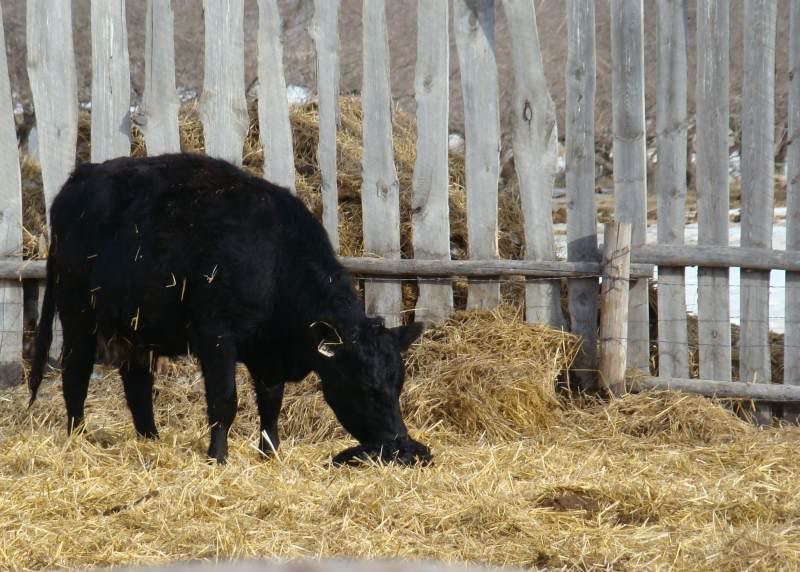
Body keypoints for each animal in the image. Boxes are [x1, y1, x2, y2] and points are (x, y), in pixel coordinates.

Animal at [28, 153, 431, 466]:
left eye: (398, 383)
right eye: (364, 384)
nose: (400, 447)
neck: (275, 259)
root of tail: (81, 176)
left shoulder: (267, 354)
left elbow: (270, 404)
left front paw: (270, 454)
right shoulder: (216, 336)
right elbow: (225, 401)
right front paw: (218, 458)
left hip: (138, 325)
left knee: (138, 383)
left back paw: (152, 440)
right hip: (77, 310)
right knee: (75, 373)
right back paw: (76, 437)